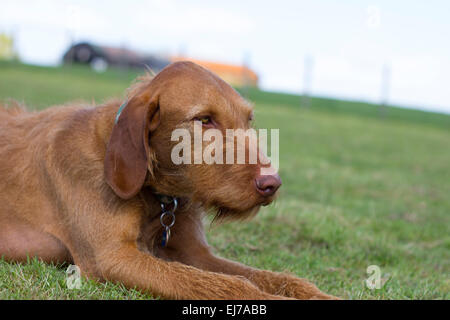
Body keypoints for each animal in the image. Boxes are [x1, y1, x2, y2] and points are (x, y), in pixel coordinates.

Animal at [0, 61, 338, 298]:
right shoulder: (111, 258)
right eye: (204, 119)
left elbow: (277, 278)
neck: (155, 195)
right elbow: (231, 285)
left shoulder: (194, 253)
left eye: (249, 120)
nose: (272, 184)